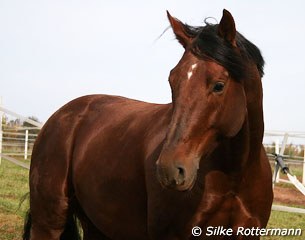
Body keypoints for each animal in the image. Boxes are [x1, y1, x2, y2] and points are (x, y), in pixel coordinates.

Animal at [22, 9, 272, 240]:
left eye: (219, 85)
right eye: (172, 81)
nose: (170, 169)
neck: (233, 178)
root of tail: (59, 116)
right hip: (48, 222)